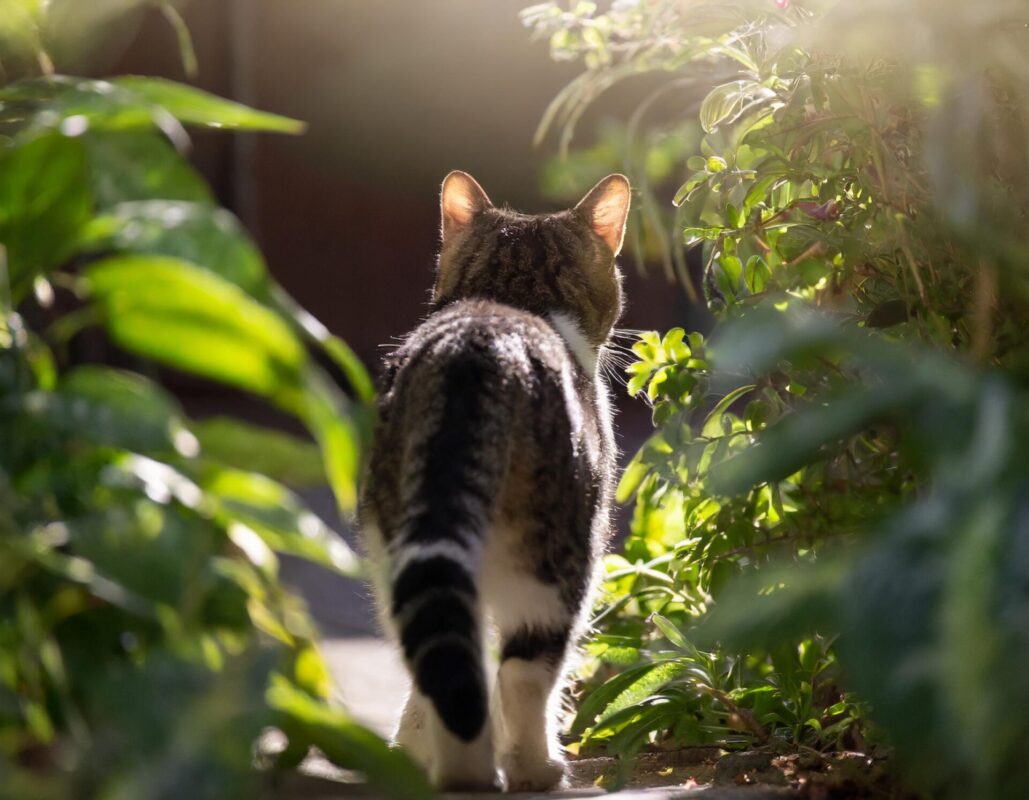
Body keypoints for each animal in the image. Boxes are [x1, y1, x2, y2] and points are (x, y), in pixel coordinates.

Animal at [358, 169, 629, 790]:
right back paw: (532, 769)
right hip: (559, 555)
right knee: (525, 673)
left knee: (438, 660)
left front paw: (410, 748)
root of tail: (479, 350)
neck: (509, 297)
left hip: (392, 547)